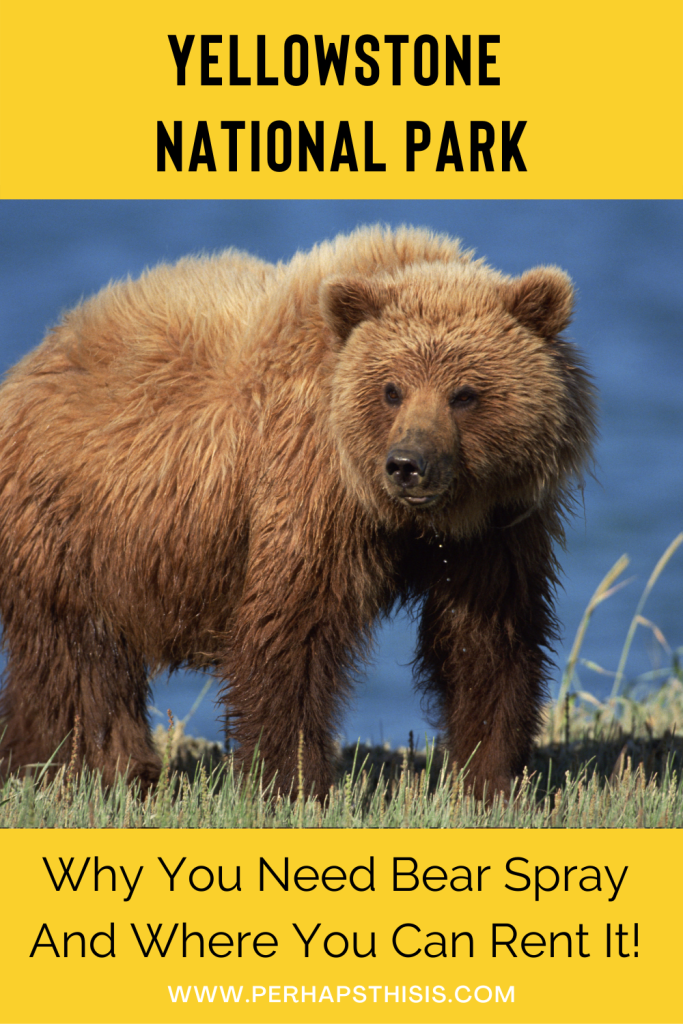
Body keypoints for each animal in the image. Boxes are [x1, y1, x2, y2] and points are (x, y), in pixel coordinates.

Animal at [0, 224, 598, 798]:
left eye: (465, 393)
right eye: (392, 389)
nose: (408, 465)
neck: (409, 519)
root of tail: (30, 363)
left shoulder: (498, 524)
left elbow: (487, 639)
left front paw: (493, 779)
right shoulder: (310, 488)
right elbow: (293, 632)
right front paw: (293, 782)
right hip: (73, 526)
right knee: (79, 662)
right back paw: (99, 770)